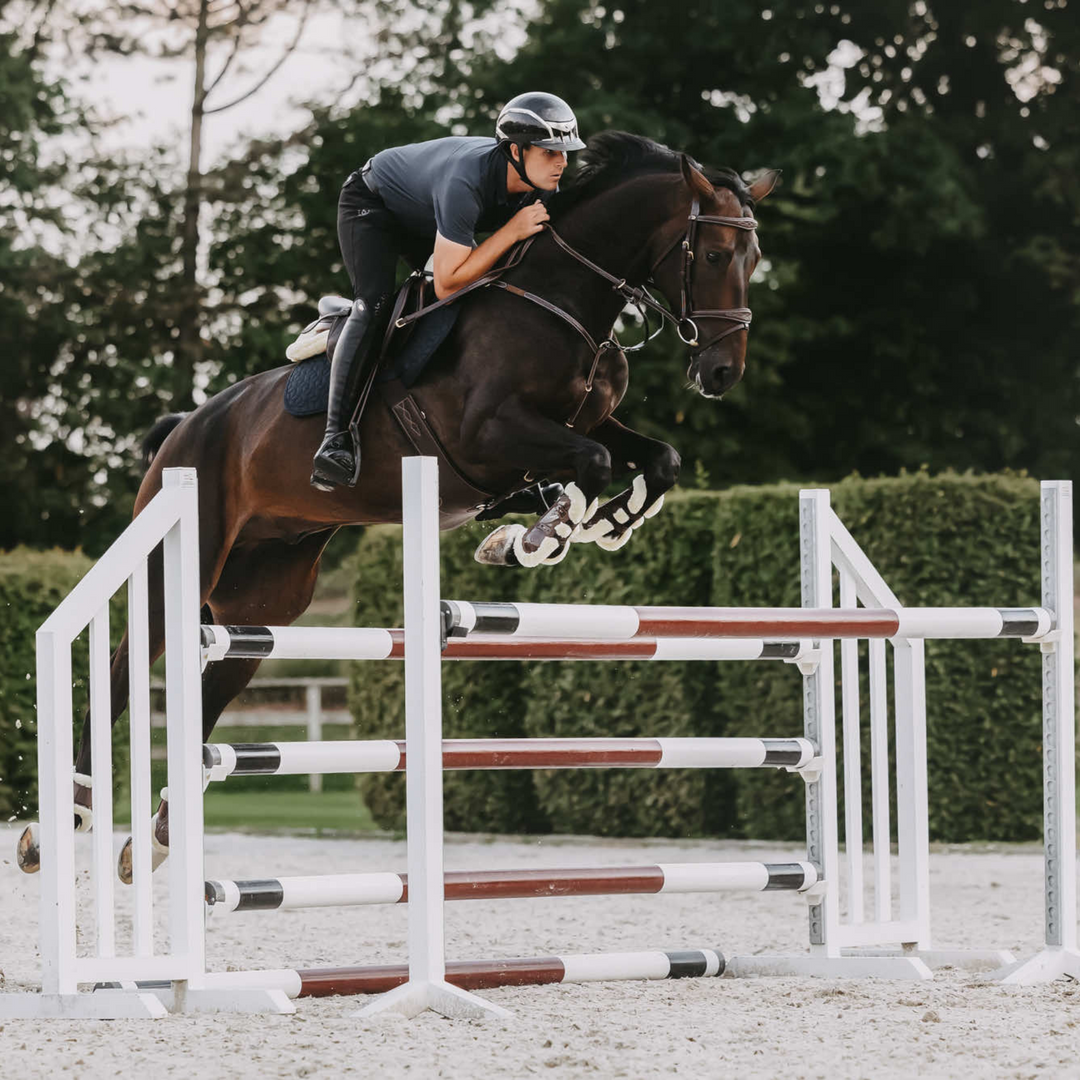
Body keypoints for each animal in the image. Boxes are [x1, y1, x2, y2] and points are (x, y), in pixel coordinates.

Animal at [17, 131, 776, 879]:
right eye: (713, 254)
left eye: (755, 259)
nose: (721, 372)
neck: (560, 299)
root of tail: (185, 428)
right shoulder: (488, 435)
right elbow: (588, 464)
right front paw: (535, 538)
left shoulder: (584, 422)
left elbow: (654, 458)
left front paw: (602, 522)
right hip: (178, 562)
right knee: (120, 675)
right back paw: (65, 821)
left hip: (262, 604)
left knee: (210, 689)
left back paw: (156, 841)